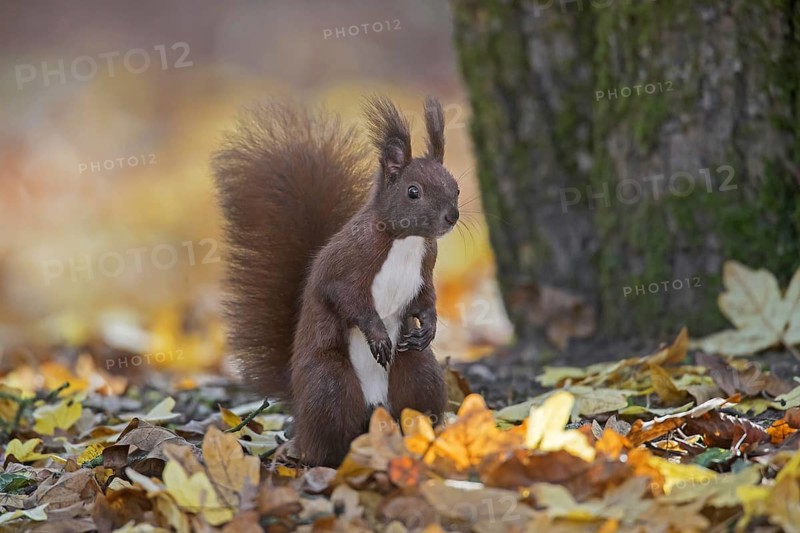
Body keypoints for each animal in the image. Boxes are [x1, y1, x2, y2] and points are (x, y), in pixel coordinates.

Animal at [213, 96, 459, 467]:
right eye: (413, 192)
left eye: (455, 186)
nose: (452, 216)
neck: (406, 240)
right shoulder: (347, 265)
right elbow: (347, 298)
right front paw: (377, 336)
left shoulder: (425, 270)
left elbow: (426, 300)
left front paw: (427, 328)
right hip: (331, 386)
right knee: (325, 439)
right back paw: (329, 459)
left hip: (420, 375)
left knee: (415, 405)